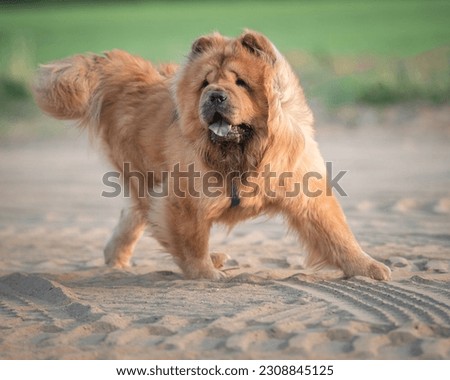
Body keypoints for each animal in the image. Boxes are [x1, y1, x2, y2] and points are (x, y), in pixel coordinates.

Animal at [32, 29, 390, 280]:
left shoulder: (306, 191)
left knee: (134, 216)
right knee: (149, 217)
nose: (215, 95)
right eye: (205, 83)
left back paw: (116, 258)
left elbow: (338, 235)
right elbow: (191, 243)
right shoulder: (183, 200)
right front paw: (206, 273)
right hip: (144, 174)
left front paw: (369, 268)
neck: (244, 152)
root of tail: (130, 74)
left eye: (240, 83)